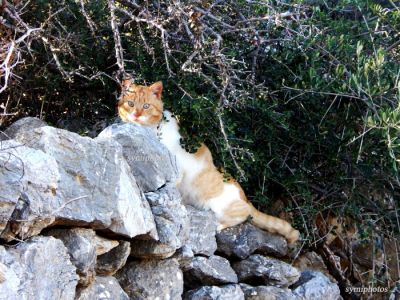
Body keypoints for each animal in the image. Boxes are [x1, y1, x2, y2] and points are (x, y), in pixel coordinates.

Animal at [117, 79, 298, 244]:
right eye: (131, 104)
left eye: (146, 106)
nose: (136, 115)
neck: (152, 130)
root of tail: (245, 197)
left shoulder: (178, 169)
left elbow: (172, 188)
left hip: (221, 205)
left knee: (243, 216)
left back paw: (219, 224)